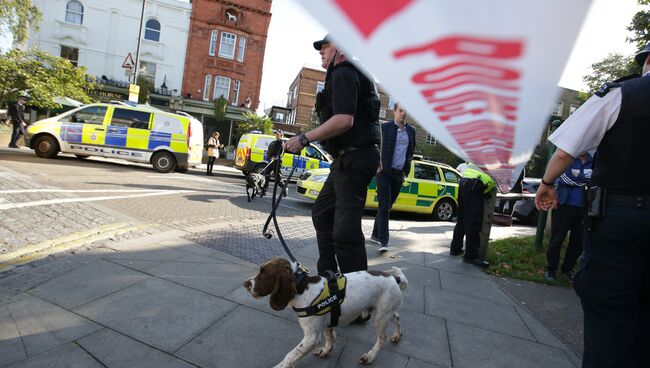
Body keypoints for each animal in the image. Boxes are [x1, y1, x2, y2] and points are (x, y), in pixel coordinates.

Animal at [242, 258, 404, 366]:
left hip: (380, 317)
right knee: (396, 317)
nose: (245, 284)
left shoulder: (311, 337)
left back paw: (369, 356)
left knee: (382, 338)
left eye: (263, 273)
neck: (302, 288)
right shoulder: (327, 322)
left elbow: (291, 355)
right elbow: (330, 337)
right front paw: (326, 351)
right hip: (385, 311)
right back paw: (397, 336)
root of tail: (393, 277)